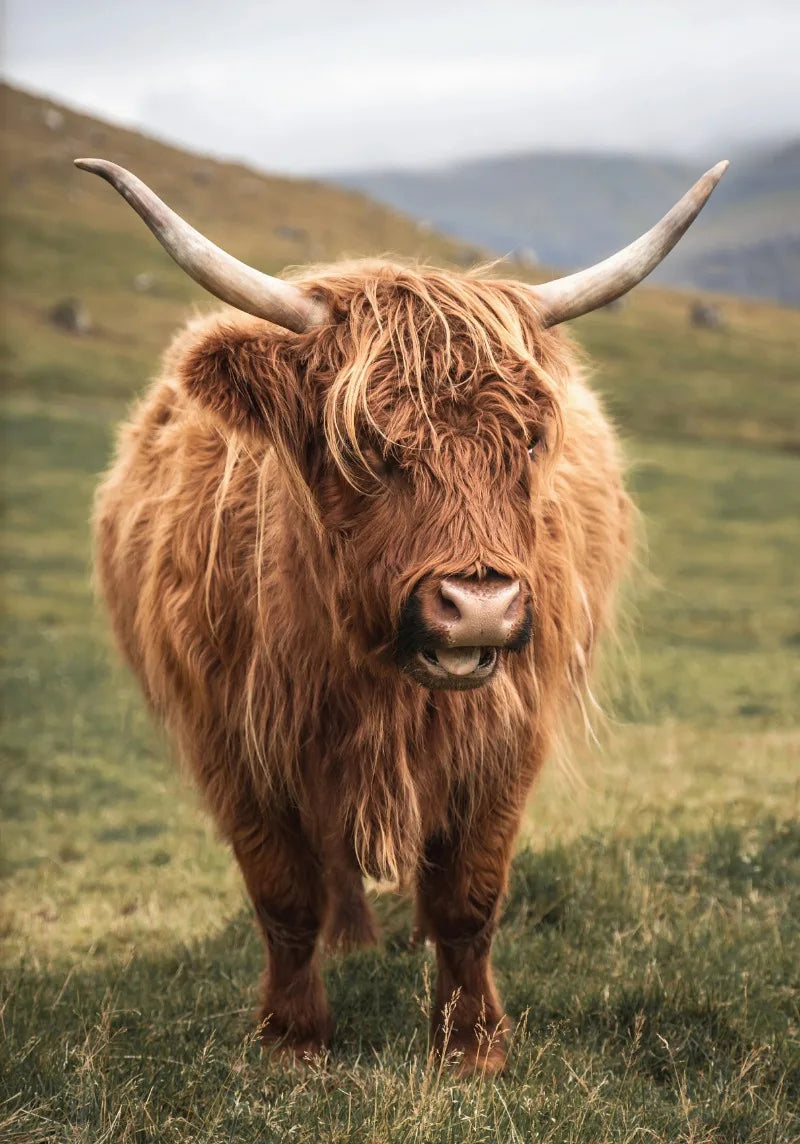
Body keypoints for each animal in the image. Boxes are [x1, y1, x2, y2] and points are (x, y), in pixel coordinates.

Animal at [76, 156, 727, 1075]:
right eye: (365, 445)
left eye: (530, 441)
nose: (479, 607)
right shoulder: (231, 739)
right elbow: (283, 895)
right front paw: (293, 1038)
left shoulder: (507, 735)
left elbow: (469, 898)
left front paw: (473, 1044)